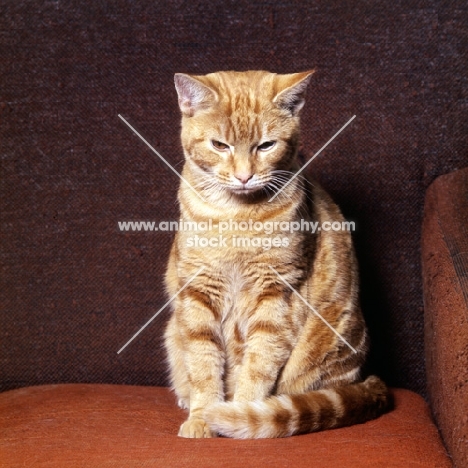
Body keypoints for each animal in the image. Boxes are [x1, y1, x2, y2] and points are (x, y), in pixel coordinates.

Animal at [163, 69, 390, 438]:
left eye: (266, 145)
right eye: (219, 145)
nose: (244, 176)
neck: (236, 216)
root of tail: (363, 381)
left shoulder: (277, 292)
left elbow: (258, 364)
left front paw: (237, 413)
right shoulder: (199, 291)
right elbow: (203, 362)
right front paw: (201, 415)